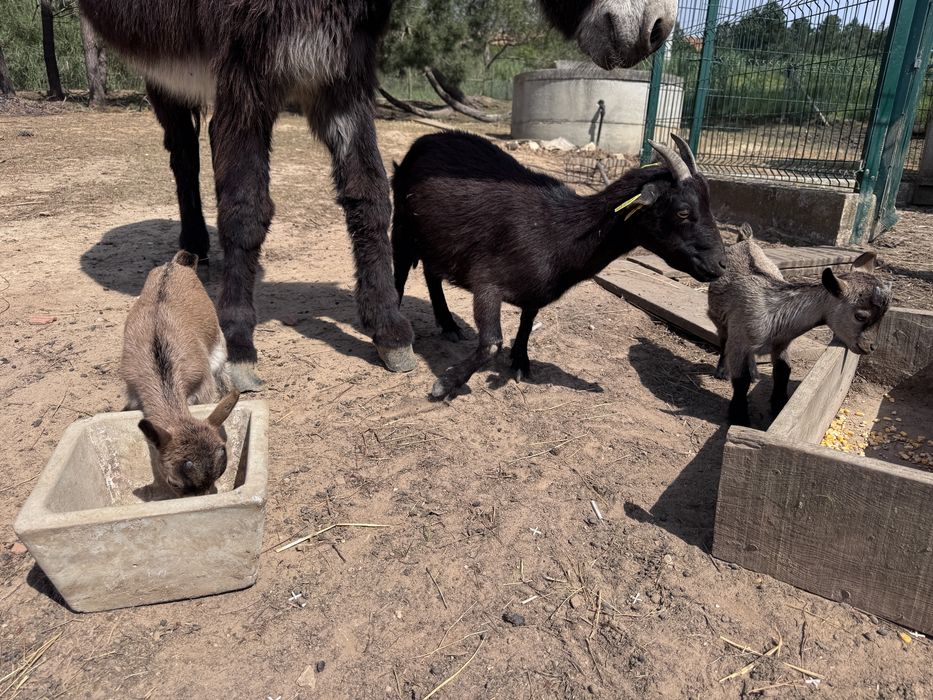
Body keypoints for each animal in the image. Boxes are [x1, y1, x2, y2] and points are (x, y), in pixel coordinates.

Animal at [77, 0, 676, 391]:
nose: (660, 28)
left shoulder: (339, 71)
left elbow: (370, 197)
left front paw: (389, 330)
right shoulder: (250, 68)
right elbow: (247, 208)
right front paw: (241, 342)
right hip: (166, 65)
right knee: (182, 152)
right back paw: (196, 246)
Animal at [121, 251, 240, 497]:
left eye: (219, 473)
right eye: (174, 483)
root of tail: (176, 264)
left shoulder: (203, 386)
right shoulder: (133, 391)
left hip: (218, 347)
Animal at [392, 131, 726, 399]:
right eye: (683, 211)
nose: (721, 264)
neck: (559, 230)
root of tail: (426, 140)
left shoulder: (535, 293)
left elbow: (527, 325)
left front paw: (521, 363)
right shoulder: (486, 282)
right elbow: (491, 343)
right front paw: (445, 385)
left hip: (435, 239)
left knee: (432, 273)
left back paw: (448, 324)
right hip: (404, 226)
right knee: (400, 272)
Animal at [707, 226, 892, 426]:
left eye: (884, 314)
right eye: (860, 316)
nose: (871, 347)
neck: (775, 312)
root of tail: (745, 241)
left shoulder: (781, 343)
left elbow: (783, 371)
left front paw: (779, 406)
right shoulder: (739, 340)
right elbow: (741, 380)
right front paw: (739, 417)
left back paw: (755, 372)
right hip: (719, 318)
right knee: (723, 339)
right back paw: (722, 371)